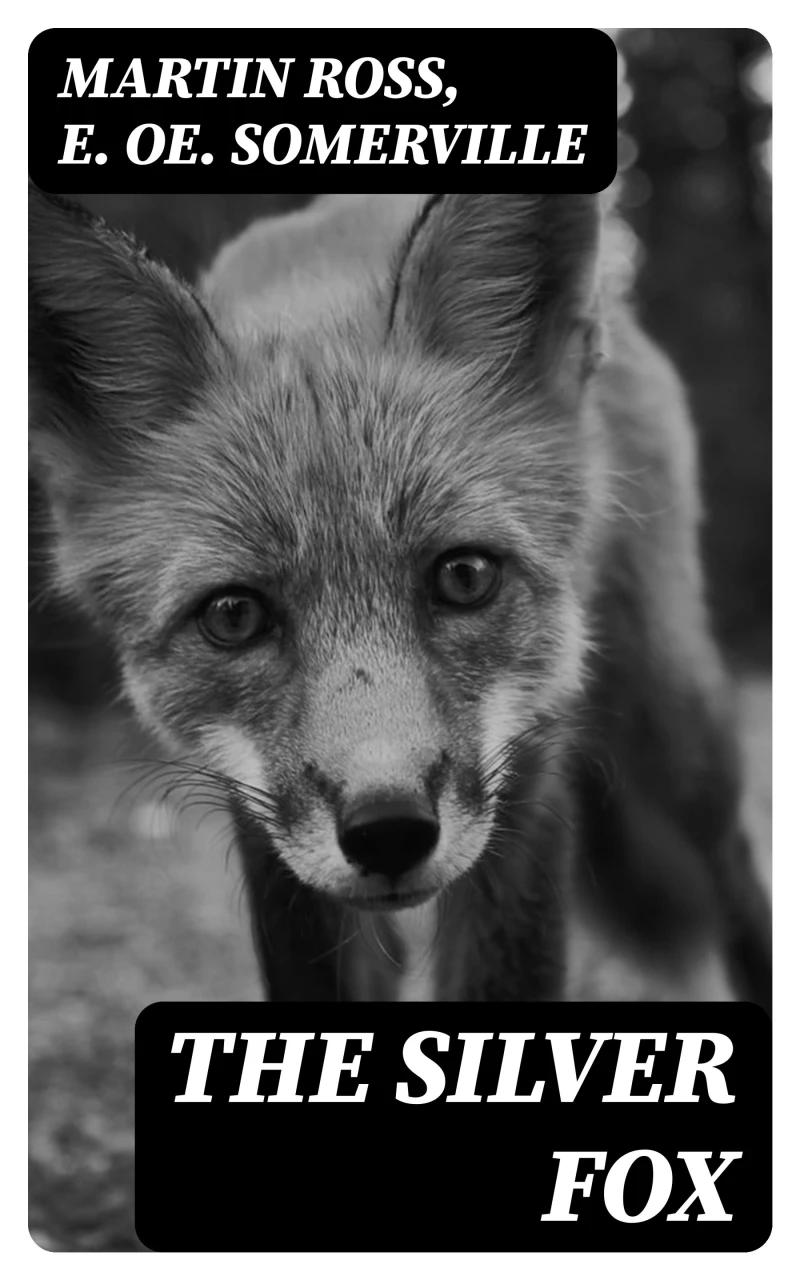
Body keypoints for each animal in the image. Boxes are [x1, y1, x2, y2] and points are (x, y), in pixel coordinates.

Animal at [28, 187, 771, 1007]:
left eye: (464, 576)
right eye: (233, 615)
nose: (388, 828)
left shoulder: (531, 768)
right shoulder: (262, 825)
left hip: (675, 730)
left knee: (737, 869)